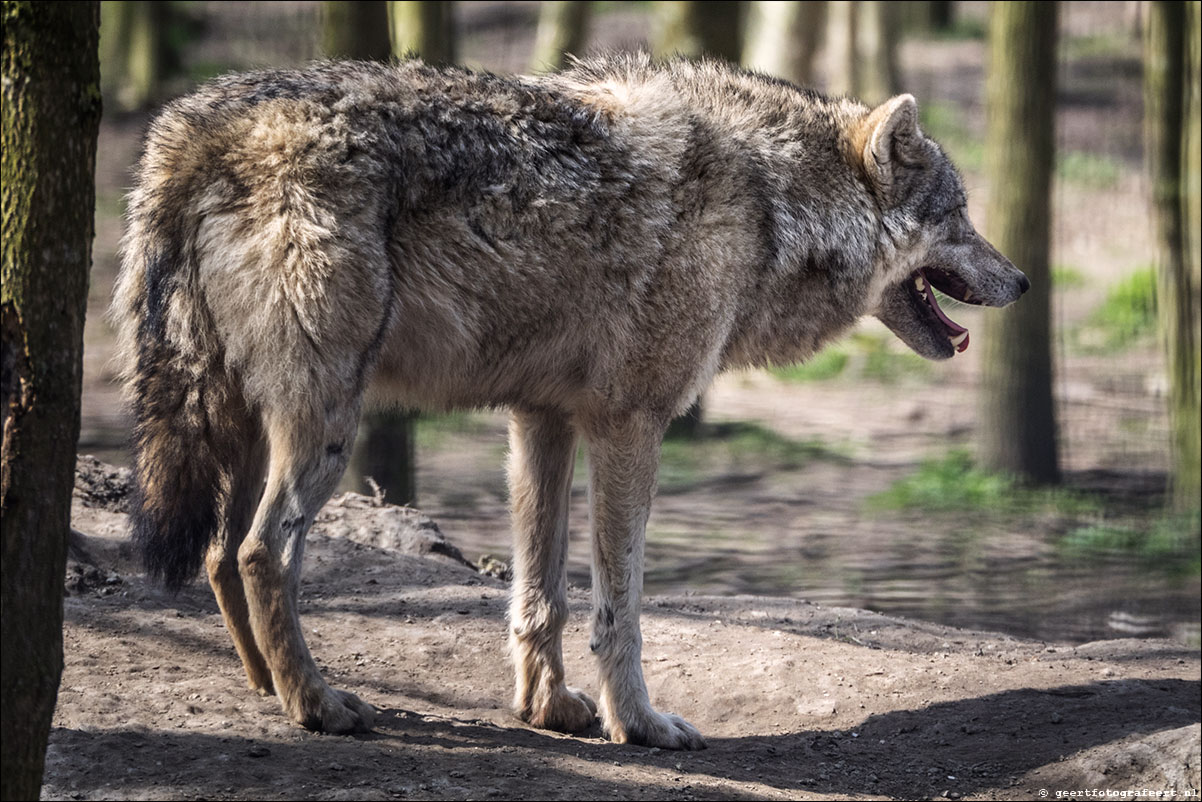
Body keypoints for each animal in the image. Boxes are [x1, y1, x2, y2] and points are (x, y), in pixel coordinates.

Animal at [112, 56, 1028, 755]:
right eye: (959, 216)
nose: (1021, 281)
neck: (773, 203)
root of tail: (192, 126)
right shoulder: (631, 424)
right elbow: (619, 604)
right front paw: (642, 723)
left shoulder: (540, 421)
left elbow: (539, 592)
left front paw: (547, 708)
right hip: (327, 424)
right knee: (263, 551)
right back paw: (317, 704)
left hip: (247, 421)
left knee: (219, 554)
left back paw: (268, 684)